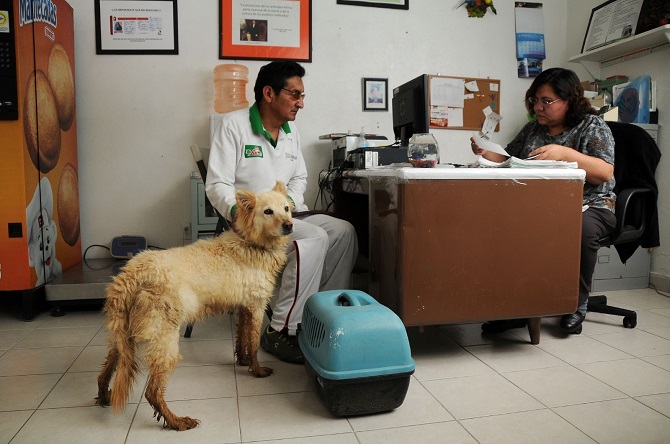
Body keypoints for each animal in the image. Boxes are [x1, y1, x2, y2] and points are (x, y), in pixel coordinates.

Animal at [96, 180, 294, 430]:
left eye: (286, 208)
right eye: (268, 211)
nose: (289, 225)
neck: (251, 243)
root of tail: (130, 274)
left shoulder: (243, 307)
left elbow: (242, 340)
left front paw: (243, 361)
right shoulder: (257, 307)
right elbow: (254, 342)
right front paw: (257, 370)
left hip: (122, 337)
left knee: (104, 372)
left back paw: (104, 396)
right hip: (165, 342)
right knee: (152, 391)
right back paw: (177, 421)